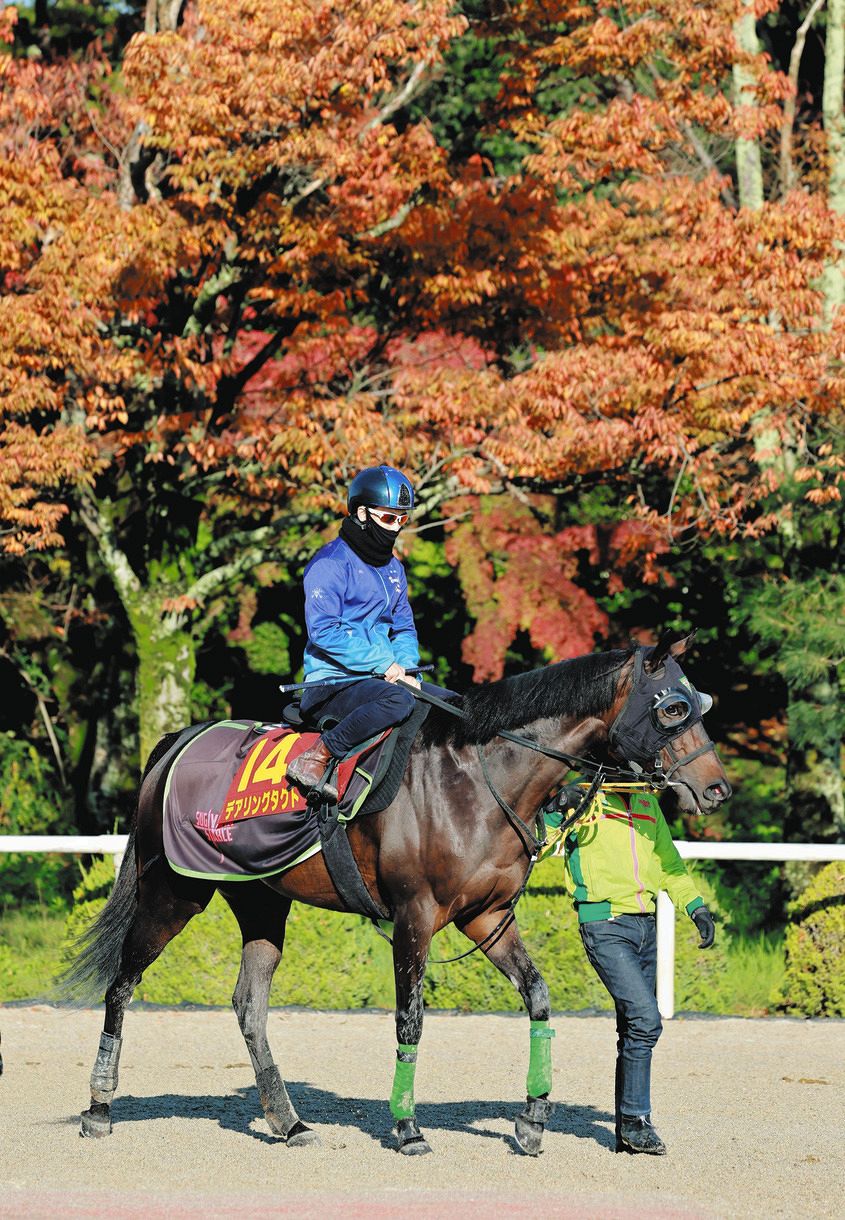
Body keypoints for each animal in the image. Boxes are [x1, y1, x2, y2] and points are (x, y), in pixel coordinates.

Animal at [65, 634, 726, 1156]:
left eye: (701, 703)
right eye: (673, 708)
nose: (714, 788)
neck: (476, 777)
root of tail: (179, 741)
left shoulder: (486, 918)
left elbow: (538, 998)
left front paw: (533, 1120)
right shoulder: (415, 917)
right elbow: (411, 1019)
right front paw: (408, 1127)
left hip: (262, 901)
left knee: (248, 1005)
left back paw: (288, 1121)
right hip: (173, 892)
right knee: (121, 984)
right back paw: (98, 1108)